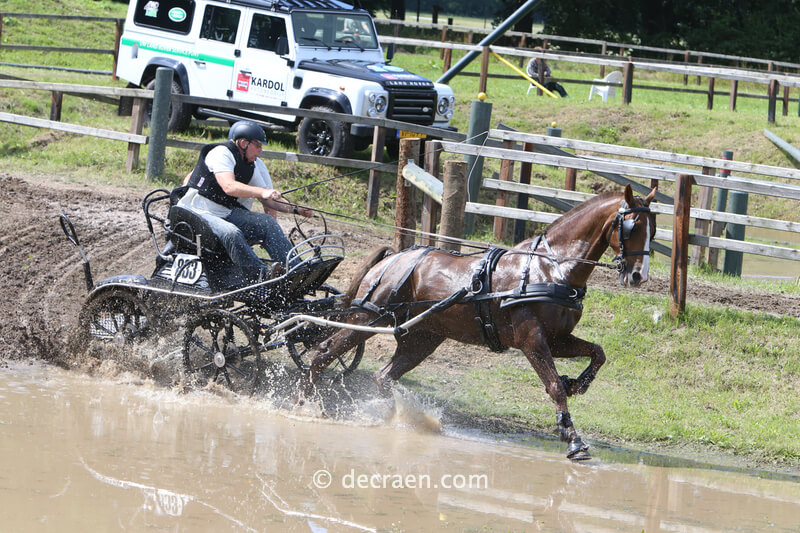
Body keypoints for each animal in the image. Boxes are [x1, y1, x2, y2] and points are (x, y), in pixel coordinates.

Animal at [303, 184, 657, 460]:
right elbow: (555, 386)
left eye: (652, 228)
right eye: (632, 226)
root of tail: (392, 259)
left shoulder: (558, 339)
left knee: (384, 376)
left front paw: (579, 383)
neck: (552, 269)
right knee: (324, 353)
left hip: (422, 338)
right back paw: (309, 404)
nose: (639, 276)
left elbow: (598, 353)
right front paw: (573, 439)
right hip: (367, 317)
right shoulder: (532, 340)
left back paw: (396, 417)